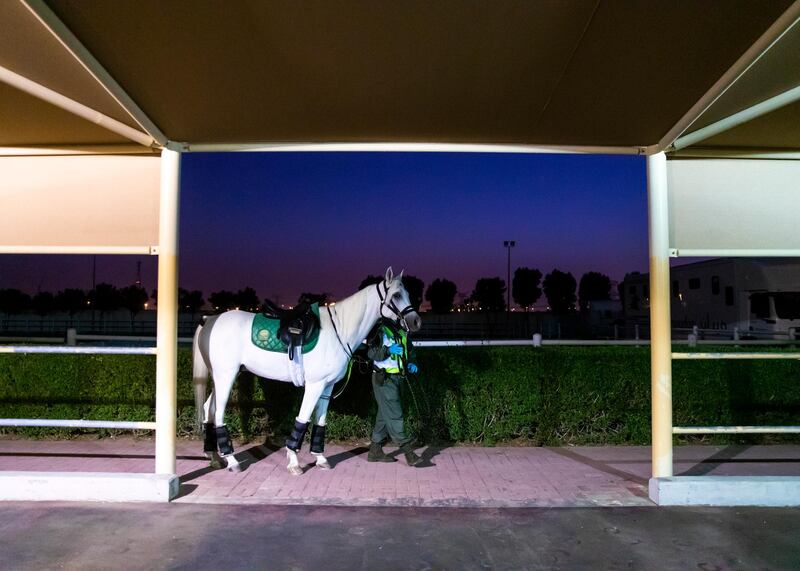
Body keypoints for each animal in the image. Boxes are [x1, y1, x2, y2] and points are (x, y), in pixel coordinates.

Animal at [191, 270, 422, 476]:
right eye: (396, 295)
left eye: (407, 293)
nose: (416, 321)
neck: (339, 330)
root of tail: (210, 320)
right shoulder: (314, 385)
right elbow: (302, 419)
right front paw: (294, 462)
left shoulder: (327, 387)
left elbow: (320, 422)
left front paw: (320, 458)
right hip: (226, 377)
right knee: (218, 414)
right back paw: (231, 460)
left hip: (221, 377)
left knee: (208, 409)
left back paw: (214, 457)